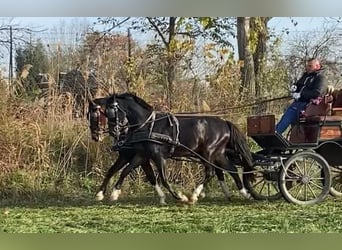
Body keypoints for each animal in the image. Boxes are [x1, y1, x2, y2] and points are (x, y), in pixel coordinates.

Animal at [103, 93, 255, 204]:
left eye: (111, 111)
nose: (113, 131)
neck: (148, 125)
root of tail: (225, 123)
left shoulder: (158, 156)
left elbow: (163, 178)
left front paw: (180, 197)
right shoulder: (142, 155)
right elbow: (126, 171)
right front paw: (114, 194)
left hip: (208, 153)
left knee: (210, 172)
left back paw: (194, 195)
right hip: (218, 154)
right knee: (231, 169)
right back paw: (244, 193)